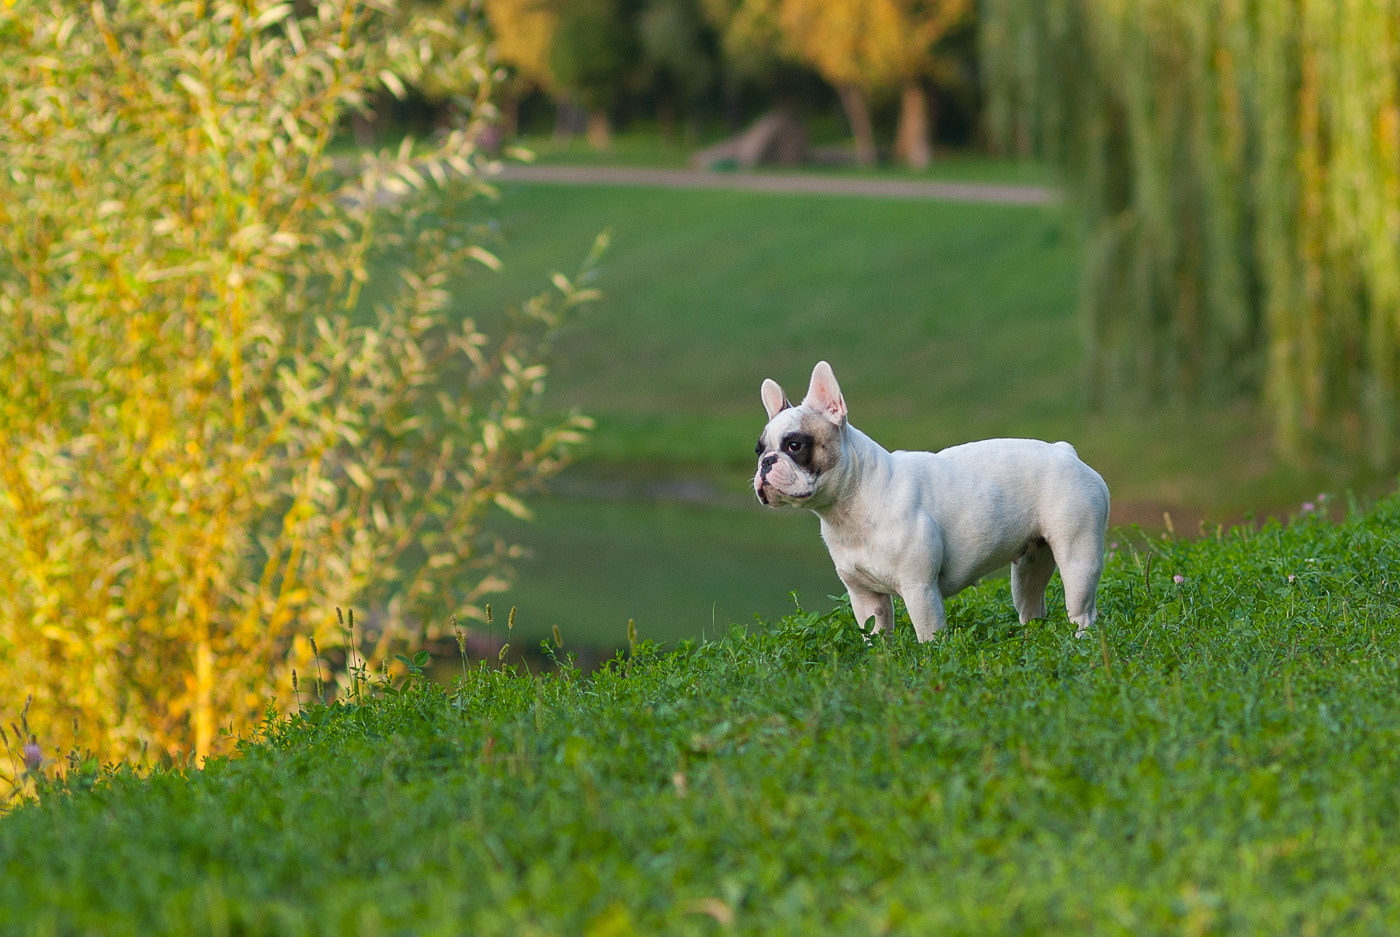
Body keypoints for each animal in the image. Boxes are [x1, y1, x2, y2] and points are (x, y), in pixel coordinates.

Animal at [761, 361, 1108, 638]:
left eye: (794, 445)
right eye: (758, 449)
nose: (765, 462)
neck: (853, 502)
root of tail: (1066, 451)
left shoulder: (920, 590)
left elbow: (929, 639)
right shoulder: (865, 597)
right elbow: (875, 637)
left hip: (1078, 559)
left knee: (1082, 612)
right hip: (1029, 567)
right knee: (1032, 608)